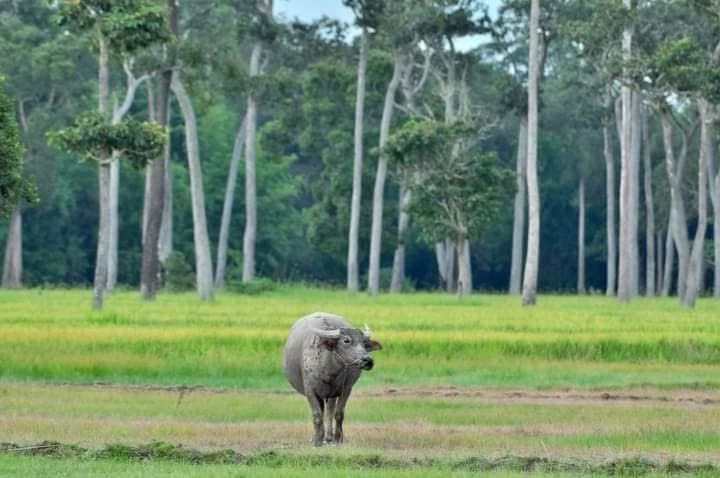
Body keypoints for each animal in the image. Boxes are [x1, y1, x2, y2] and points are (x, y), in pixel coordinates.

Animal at [282, 312, 382, 446]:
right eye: (346, 340)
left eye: (364, 343)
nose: (368, 360)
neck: (328, 371)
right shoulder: (310, 391)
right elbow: (317, 414)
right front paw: (317, 440)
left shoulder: (345, 390)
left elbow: (339, 413)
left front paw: (338, 438)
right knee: (323, 411)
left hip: (332, 395)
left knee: (329, 410)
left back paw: (329, 437)